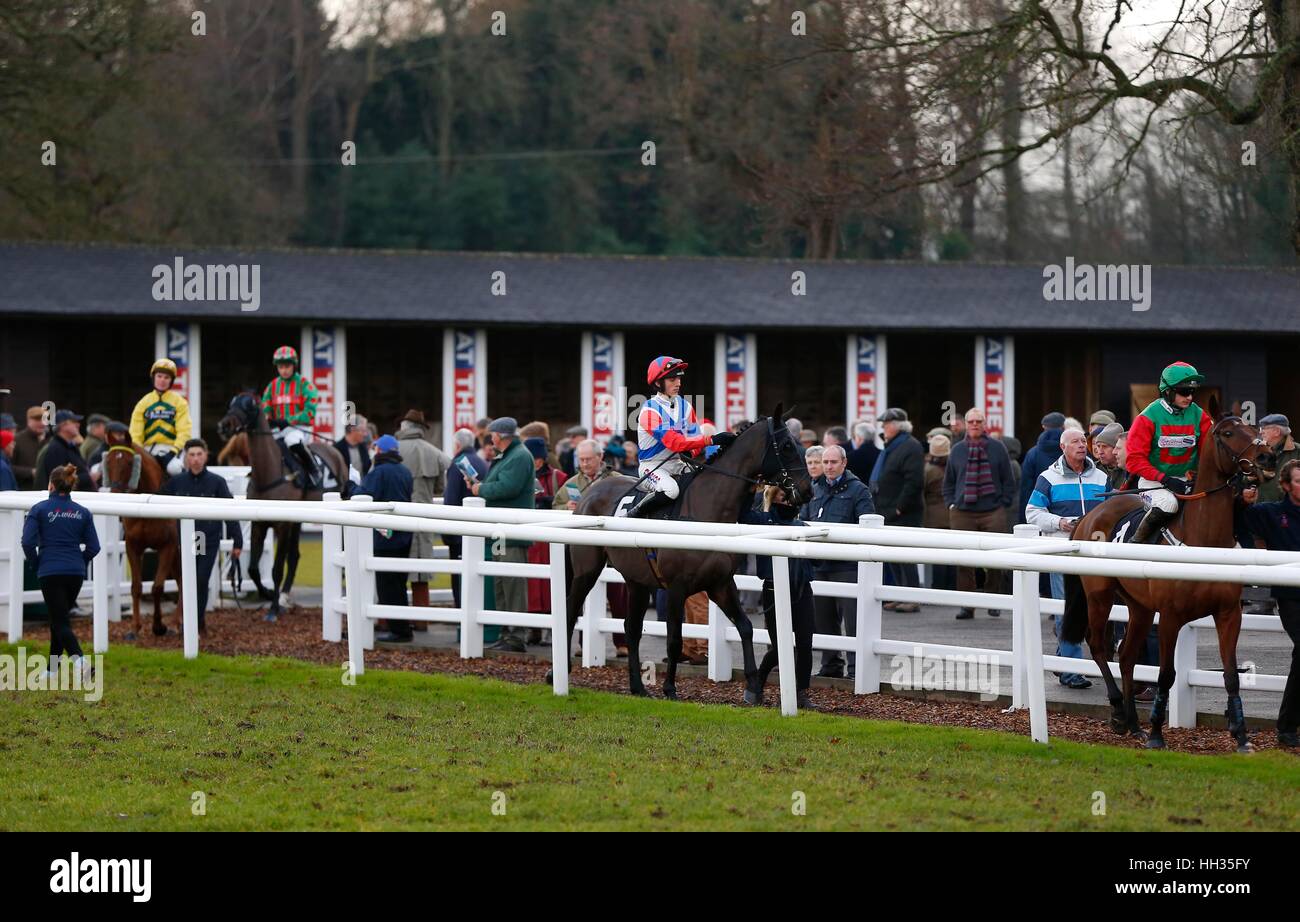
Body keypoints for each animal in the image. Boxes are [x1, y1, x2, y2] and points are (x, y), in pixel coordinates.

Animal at [100, 429, 182, 637]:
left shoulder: (167, 546)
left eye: (130, 463)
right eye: (108, 461)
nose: (115, 493)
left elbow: (157, 587)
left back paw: (176, 623)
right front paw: (135, 628)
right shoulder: (133, 546)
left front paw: (159, 626)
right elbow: (136, 587)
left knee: (183, 581)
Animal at [219, 387, 351, 619]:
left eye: (249, 405)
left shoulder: (282, 524)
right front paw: (268, 593)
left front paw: (272, 609)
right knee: (295, 555)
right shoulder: (259, 524)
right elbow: (253, 569)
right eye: (231, 402)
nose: (224, 426)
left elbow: (276, 569)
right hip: (297, 521)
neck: (269, 474)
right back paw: (284, 595)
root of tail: (334, 451)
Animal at [548, 405, 811, 707]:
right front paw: (670, 688)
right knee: (570, 611)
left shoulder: (721, 584)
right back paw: (557, 672)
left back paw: (638, 686)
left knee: (631, 627)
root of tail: (589, 492)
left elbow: (744, 627)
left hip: (637, 580)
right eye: (788, 445)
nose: (808, 490)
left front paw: (754, 686)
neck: (706, 510)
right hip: (586, 570)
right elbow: (674, 638)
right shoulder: (676, 587)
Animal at [1055, 392, 1268, 749]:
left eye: (1252, 429)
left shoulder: (1228, 614)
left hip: (1139, 606)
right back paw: (1118, 713)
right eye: (1227, 433)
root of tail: (1089, 515)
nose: (1266, 457)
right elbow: (1166, 674)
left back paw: (1132, 722)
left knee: (1127, 655)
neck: (1202, 541)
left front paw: (1240, 736)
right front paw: (1156, 734)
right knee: (1098, 645)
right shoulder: (1170, 616)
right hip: (1099, 595)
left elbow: (1230, 675)